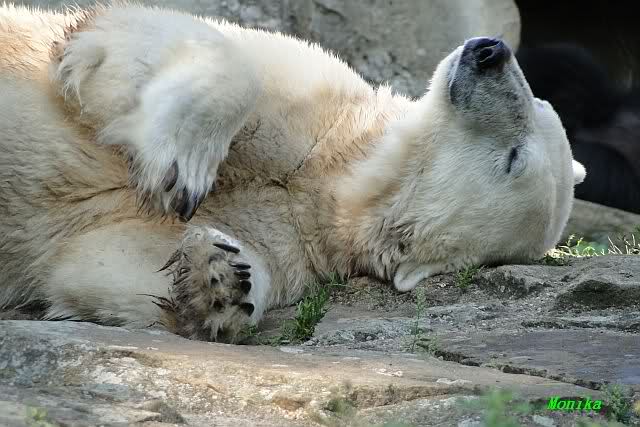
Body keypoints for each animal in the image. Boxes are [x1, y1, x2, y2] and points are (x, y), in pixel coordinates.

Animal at [0, 4, 585, 342]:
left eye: (515, 156)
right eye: (543, 107)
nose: (492, 50)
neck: (331, 181)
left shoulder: (295, 244)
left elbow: (98, 263)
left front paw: (217, 275)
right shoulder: (310, 97)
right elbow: (160, 34)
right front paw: (182, 160)